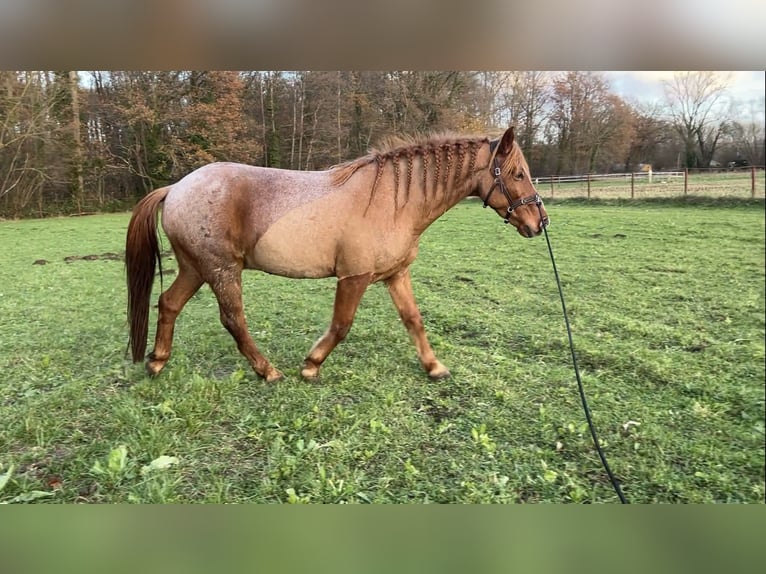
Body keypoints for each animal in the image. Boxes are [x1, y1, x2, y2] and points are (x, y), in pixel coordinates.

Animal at [126, 128, 548, 384]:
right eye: (518, 174)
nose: (538, 222)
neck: (393, 200)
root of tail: (176, 187)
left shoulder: (396, 275)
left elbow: (414, 320)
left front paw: (434, 367)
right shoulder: (354, 277)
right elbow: (342, 325)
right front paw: (311, 366)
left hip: (195, 268)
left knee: (169, 303)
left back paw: (157, 360)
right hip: (221, 270)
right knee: (233, 319)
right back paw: (268, 372)